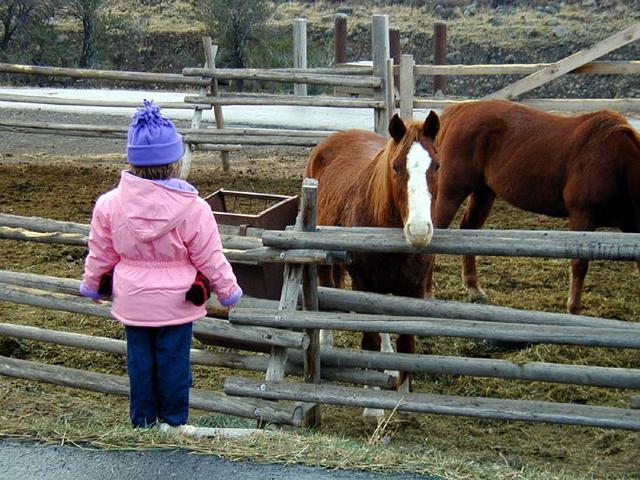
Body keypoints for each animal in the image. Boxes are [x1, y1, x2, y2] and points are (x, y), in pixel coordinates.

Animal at [304, 112, 440, 404]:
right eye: (396, 167)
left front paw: (403, 399)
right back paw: (326, 345)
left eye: (436, 166)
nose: (419, 230)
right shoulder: (364, 284)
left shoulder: (413, 288)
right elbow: (370, 342)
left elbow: (406, 343)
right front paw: (372, 406)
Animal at [428, 99, 640, 314]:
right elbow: (579, 264)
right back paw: (428, 292)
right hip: (452, 192)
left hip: (483, 192)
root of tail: (460, 109)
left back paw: (474, 289)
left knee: (469, 230)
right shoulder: (583, 217)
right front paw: (573, 310)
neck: (616, 163)